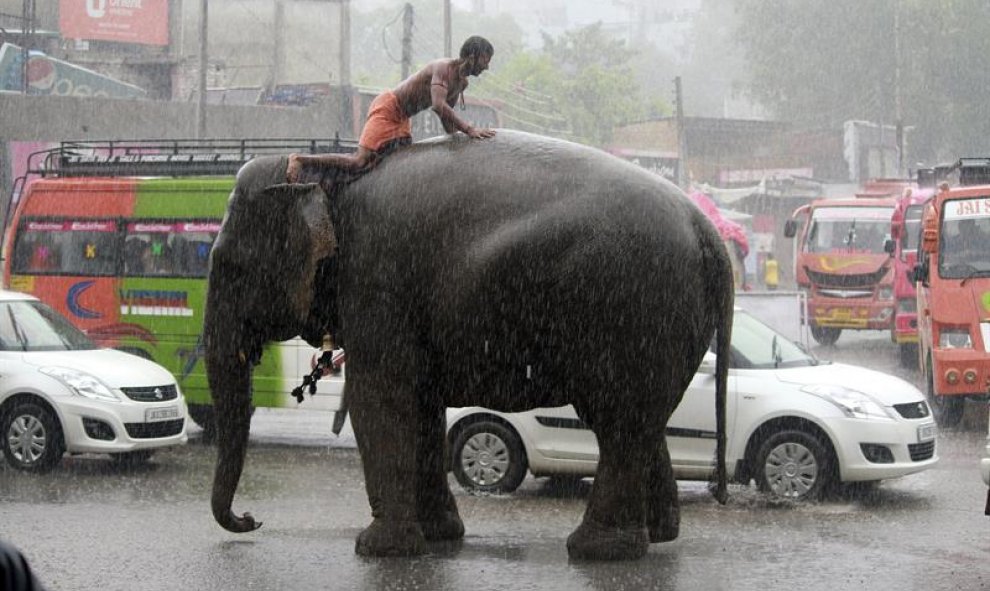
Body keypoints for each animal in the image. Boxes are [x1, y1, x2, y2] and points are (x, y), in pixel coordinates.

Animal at [205, 128, 736, 560]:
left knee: (618, 422)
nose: (251, 519)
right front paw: (441, 537)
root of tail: (708, 234)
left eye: (230, 265)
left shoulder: (378, 281)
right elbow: (420, 405)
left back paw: (597, 551)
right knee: (641, 420)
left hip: (633, 309)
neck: (329, 179)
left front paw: (379, 549)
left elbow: (379, 399)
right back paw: (658, 536)